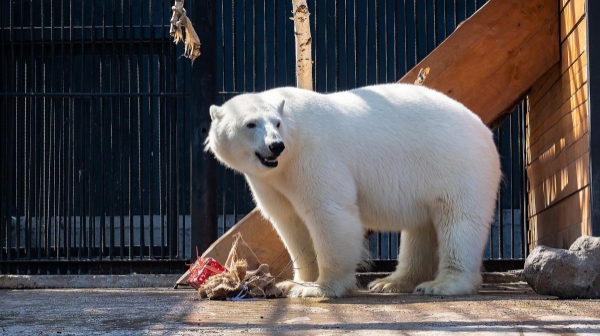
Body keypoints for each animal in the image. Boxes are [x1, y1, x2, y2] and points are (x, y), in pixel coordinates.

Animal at [206, 82, 502, 298]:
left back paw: (442, 284)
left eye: (276, 123)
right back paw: (392, 282)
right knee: (421, 228)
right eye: (250, 124)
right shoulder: (269, 180)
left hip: (457, 164)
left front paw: (319, 288)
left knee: (459, 221)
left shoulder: (314, 154)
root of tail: (484, 130)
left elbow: (330, 212)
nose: (276, 145)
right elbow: (291, 223)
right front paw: (292, 284)